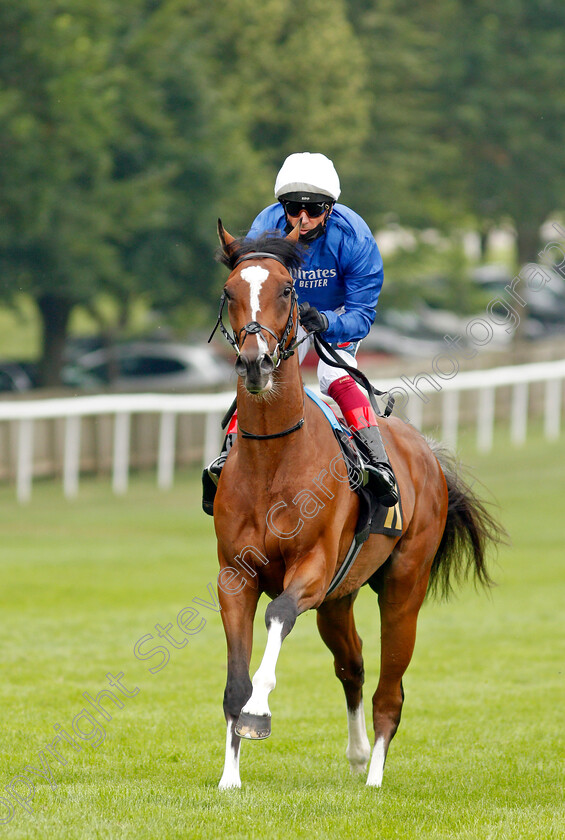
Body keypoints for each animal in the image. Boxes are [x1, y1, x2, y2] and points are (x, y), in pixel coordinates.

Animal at [209, 220, 500, 792]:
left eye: (288, 290)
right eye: (230, 292)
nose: (255, 363)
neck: (274, 458)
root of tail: (425, 452)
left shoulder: (313, 569)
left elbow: (277, 615)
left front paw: (259, 713)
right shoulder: (235, 575)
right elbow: (234, 681)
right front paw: (230, 777)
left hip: (404, 585)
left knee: (391, 688)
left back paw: (376, 776)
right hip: (338, 600)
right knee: (354, 665)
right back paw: (360, 753)